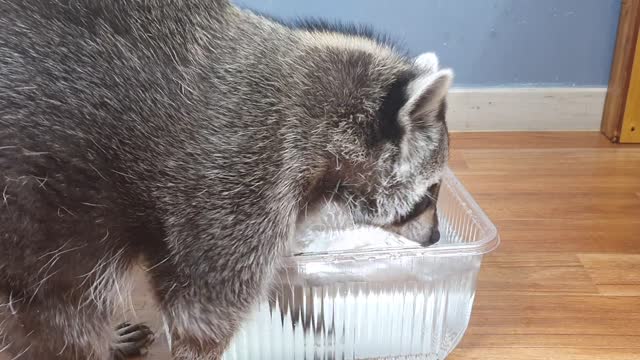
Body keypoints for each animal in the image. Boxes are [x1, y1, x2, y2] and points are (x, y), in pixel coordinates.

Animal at [0, 1, 450, 358]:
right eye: (431, 190)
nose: (436, 238)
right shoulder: (240, 177)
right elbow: (202, 314)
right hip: (42, 219)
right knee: (62, 314)